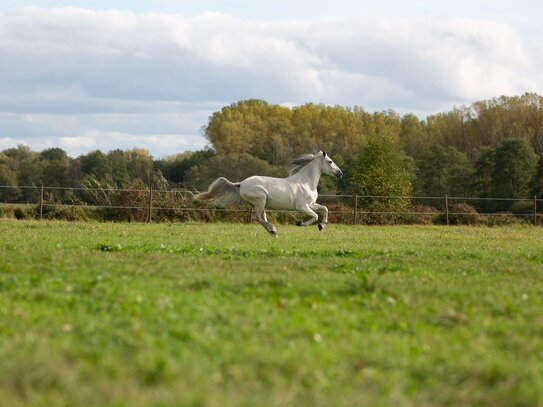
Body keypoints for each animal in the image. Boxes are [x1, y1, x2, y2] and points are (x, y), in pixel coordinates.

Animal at [196, 151, 342, 237]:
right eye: (330, 161)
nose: (340, 173)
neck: (305, 182)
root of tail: (241, 184)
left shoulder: (311, 204)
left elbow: (325, 209)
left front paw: (321, 226)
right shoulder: (302, 207)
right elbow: (315, 215)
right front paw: (301, 223)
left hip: (261, 204)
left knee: (261, 217)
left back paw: (273, 232)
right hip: (261, 200)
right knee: (257, 217)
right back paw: (273, 230)